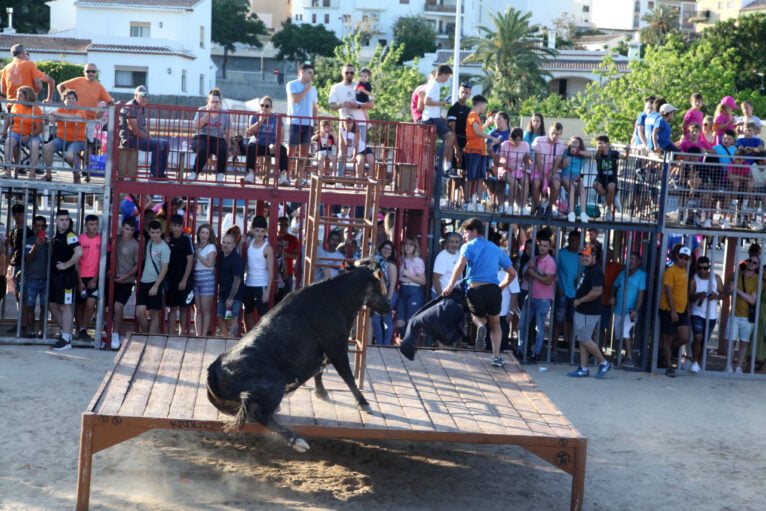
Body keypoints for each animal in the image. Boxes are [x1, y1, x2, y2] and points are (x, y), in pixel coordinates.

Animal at [207, 260, 392, 452]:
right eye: (381, 286)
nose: (388, 307)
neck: (335, 298)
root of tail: (215, 367)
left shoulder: (323, 351)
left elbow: (320, 370)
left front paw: (321, 392)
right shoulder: (336, 347)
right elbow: (347, 376)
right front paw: (364, 403)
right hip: (274, 385)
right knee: (261, 414)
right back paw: (296, 440)